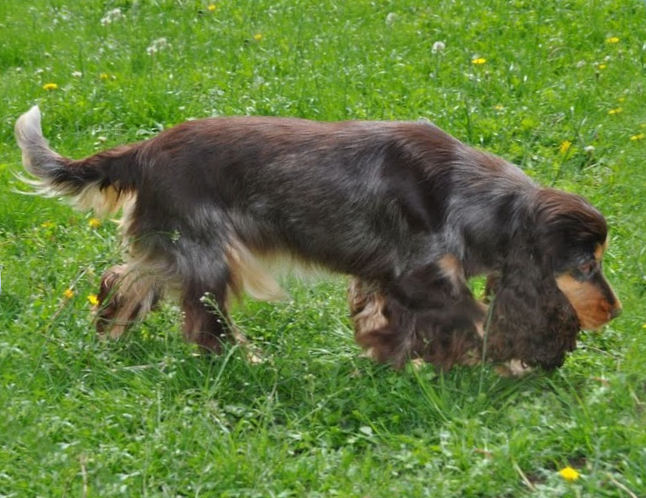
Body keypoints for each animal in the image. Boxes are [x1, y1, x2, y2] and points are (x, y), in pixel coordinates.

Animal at [15, 105, 624, 370]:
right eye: (587, 264)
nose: (617, 310)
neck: (468, 193)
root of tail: (142, 151)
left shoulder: (390, 279)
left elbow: (394, 328)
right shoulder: (424, 276)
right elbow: (471, 325)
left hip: (175, 249)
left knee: (124, 277)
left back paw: (111, 334)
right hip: (208, 255)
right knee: (207, 323)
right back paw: (246, 361)